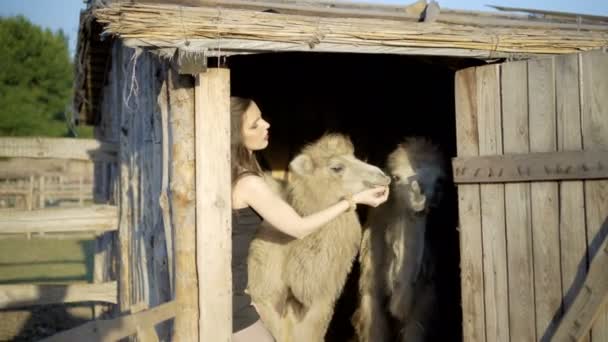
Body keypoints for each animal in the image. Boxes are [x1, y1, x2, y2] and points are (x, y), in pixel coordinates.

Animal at [352, 137, 446, 342]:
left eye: (438, 180)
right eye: (395, 177)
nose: (420, 199)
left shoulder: (423, 299)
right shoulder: (370, 291)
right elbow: (374, 330)